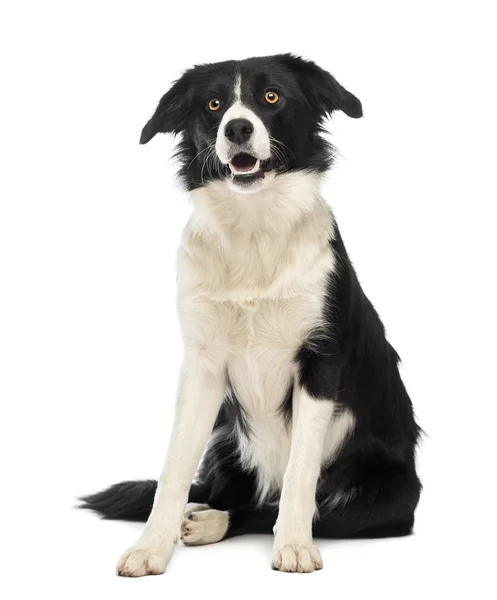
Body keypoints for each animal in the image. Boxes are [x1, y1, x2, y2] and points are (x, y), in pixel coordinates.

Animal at [80, 56, 418, 576]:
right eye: (213, 104)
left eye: (272, 97)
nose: (237, 127)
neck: (254, 228)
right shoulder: (201, 367)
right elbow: (172, 470)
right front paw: (150, 548)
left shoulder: (321, 363)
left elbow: (300, 474)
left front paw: (294, 545)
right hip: (224, 440)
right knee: (231, 495)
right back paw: (202, 513)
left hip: (392, 496)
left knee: (281, 507)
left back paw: (213, 522)